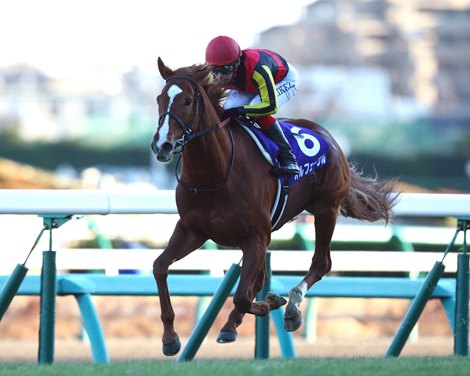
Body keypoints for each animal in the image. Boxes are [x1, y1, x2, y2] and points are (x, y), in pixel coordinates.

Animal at [151, 58, 396, 356]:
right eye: (160, 99)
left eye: (187, 101)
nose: (162, 145)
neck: (215, 174)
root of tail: (329, 137)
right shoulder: (192, 230)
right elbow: (160, 267)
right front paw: (169, 338)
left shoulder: (255, 237)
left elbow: (244, 296)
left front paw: (274, 303)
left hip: (326, 209)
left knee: (321, 263)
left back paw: (291, 306)